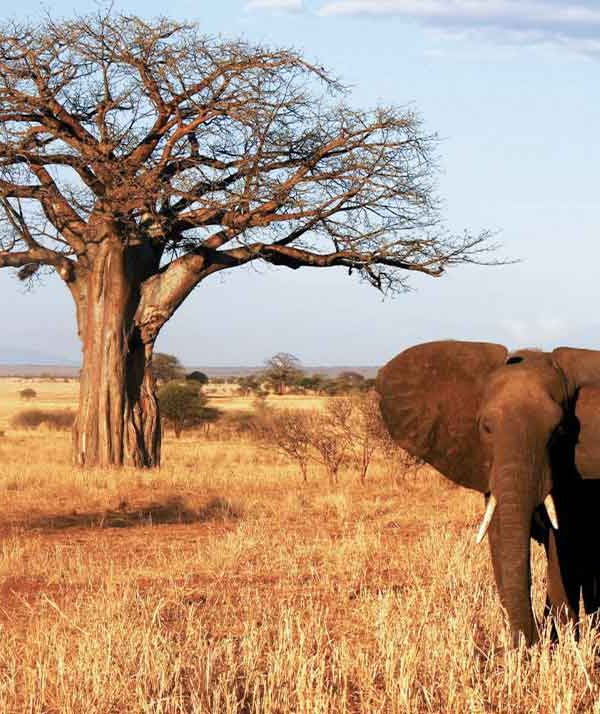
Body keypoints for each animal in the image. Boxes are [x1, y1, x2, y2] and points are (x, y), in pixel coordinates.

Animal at [378, 340, 600, 644]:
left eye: (560, 430)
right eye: (485, 428)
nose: (532, 640)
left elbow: (563, 547)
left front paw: (564, 644)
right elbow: (499, 538)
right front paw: (529, 648)